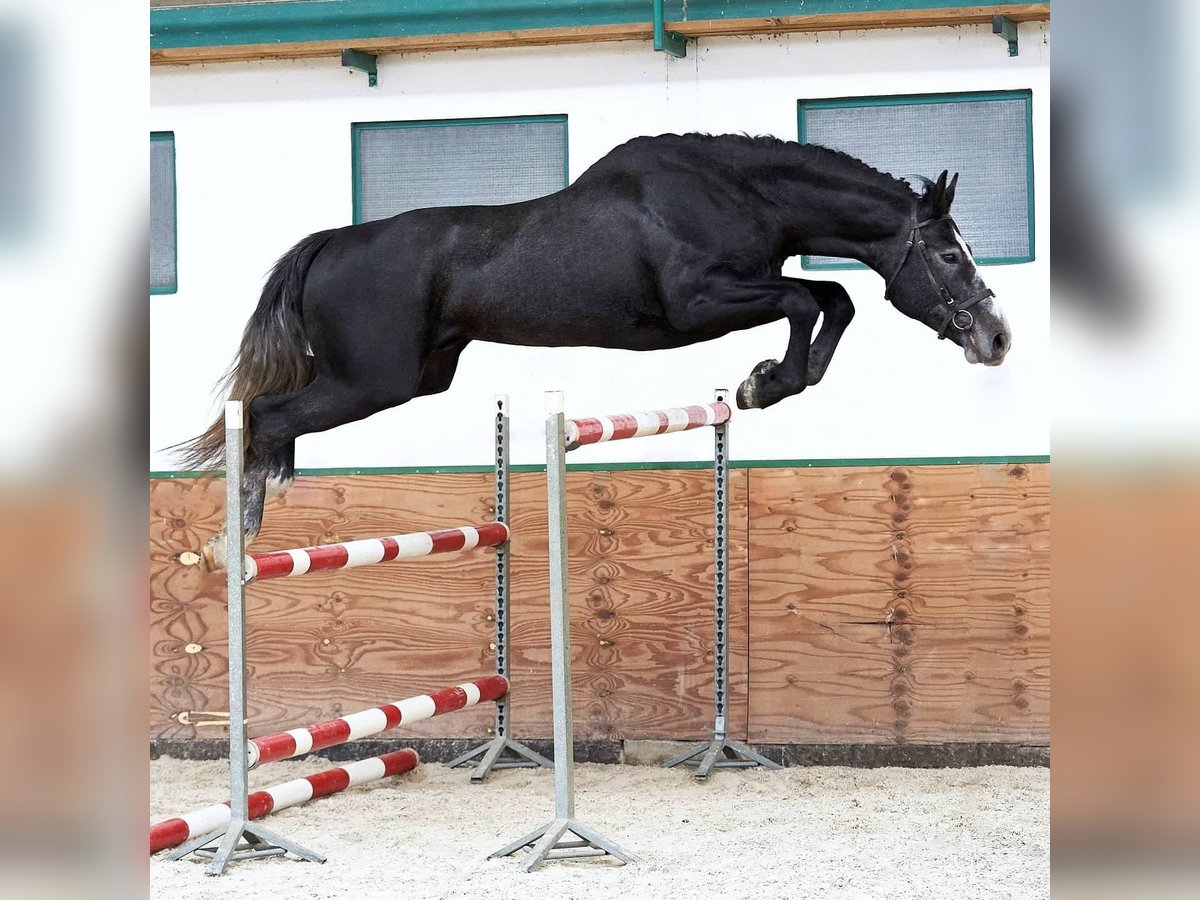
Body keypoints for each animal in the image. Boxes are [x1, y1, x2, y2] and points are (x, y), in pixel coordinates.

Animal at [174, 132, 1008, 564]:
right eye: (950, 256)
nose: (997, 338)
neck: (735, 193)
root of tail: (329, 244)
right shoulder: (701, 303)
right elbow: (813, 297)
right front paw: (765, 382)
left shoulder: (738, 293)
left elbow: (833, 298)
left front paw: (769, 380)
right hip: (368, 381)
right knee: (267, 416)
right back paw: (236, 544)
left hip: (416, 376)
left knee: (269, 418)